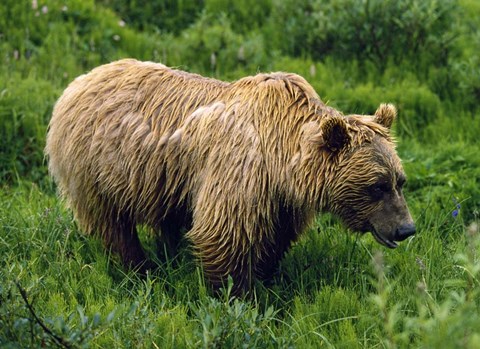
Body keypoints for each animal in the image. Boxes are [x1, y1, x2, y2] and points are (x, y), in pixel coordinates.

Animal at [47, 58, 418, 292]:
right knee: (112, 224)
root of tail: (79, 81)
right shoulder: (241, 169)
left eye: (400, 181)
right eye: (376, 186)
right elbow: (224, 233)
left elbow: (276, 238)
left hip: (164, 177)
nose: (406, 229)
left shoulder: (282, 199)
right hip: (96, 167)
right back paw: (139, 267)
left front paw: (267, 277)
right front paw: (235, 294)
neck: (282, 158)